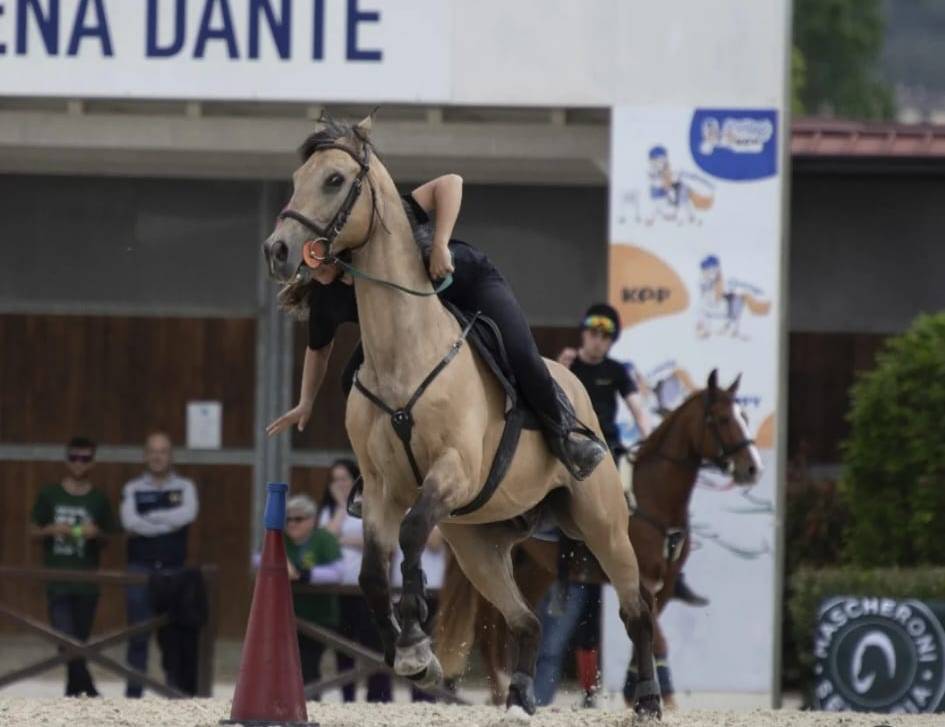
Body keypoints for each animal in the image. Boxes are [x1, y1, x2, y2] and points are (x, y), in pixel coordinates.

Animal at [262, 114, 667, 717]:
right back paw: (520, 696)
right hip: (479, 544)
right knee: (526, 620)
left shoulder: (452, 472)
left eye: (334, 179)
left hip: (601, 523)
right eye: (295, 179)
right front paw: (411, 655)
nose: (278, 250)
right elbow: (371, 572)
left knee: (635, 606)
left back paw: (647, 698)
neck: (405, 354)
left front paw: (414, 641)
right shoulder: (381, 487)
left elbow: (411, 534)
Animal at [434, 373, 763, 707]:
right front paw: (660, 698)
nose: (753, 468)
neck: (650, 497)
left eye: (745, 417)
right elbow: (659, 639)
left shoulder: (665, 585)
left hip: (534, 569)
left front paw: (637, 692)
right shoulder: (643, 579)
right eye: (722, 418)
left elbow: (647, 628)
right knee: (488, 628)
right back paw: (502, 689)